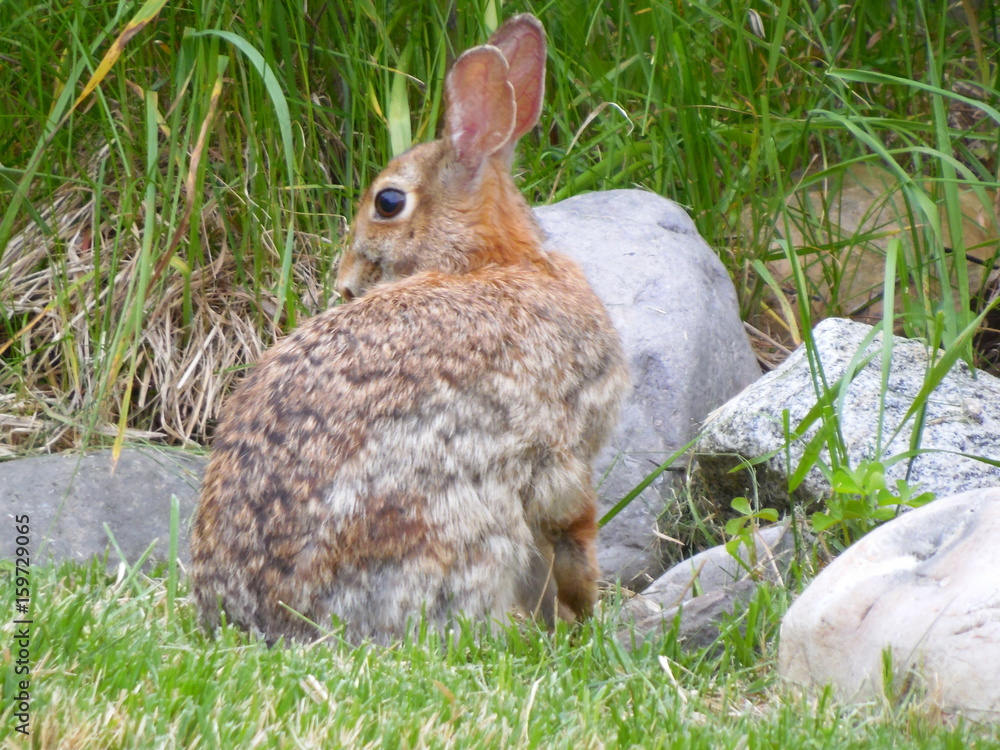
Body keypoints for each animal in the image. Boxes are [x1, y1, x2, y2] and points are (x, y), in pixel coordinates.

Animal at [190, 13, 629, 645]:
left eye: (387, 202)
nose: (347, 283)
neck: (487, 261)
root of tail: (263, 623)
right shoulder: (564, 452)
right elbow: (571, 532)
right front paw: (580, 614)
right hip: (455, 526)